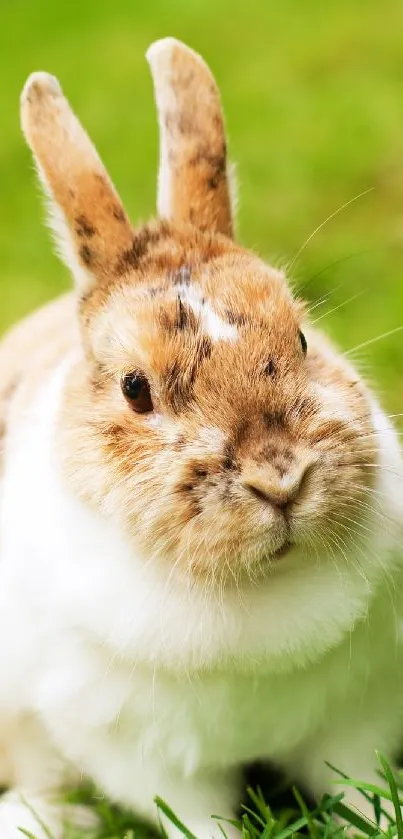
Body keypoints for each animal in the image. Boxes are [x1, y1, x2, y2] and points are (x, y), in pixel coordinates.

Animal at [0, 36, 403, 839]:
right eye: (136, 389)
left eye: (303, 337)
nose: (281, 478)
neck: (259, 588)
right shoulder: (140, 756)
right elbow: (199, 817)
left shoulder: (360, 712)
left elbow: (359, 787)